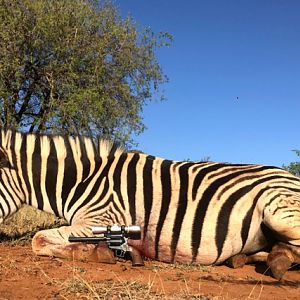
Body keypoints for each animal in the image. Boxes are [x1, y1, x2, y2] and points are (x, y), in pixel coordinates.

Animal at [0, 128, 300, 278]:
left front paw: (98, 253)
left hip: (278, 209)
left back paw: (278, 261)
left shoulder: (100, 219)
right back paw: (240, 258)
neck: (84, 179)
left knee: (293, 249)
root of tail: (290, 176)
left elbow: (38, 240)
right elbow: (42, 238)